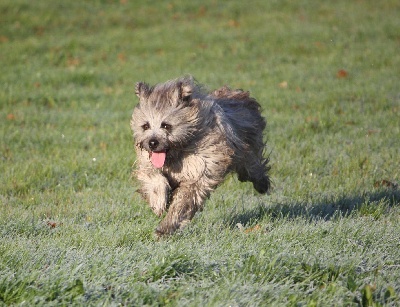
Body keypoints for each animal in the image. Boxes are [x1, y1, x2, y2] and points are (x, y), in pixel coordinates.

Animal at [130, 76, 270, 237]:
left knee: (253, 168)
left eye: (166, 125)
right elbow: (151, 176)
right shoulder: (147, 162)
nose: (152, 143)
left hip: (247, 152)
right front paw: (158, 201)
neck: (177, 152)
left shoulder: (200, 171)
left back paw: (262, 184)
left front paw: (165, 228)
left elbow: (183, 201)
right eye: (145, 126)